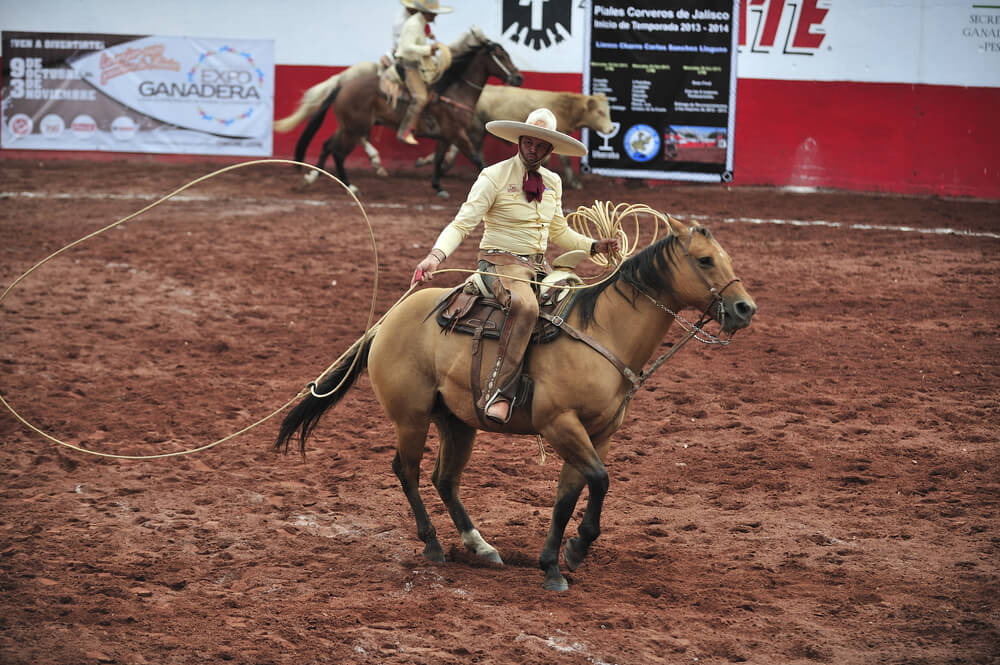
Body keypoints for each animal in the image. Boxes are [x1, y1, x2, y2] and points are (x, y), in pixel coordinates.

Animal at [274, 27, 524, 197]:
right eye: (501, 56)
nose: (518, 77)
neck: (454, 90)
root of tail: (343, 85)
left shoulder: (445, 136)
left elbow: (439, 159)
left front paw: (438, 187)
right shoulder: (457, 133)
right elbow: (477, 159)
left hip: (349, 127)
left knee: (328, 146)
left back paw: (316, 178)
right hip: (354, 129)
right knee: (337, 152)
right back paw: (349, 184)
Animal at [276, 217, 756, 592]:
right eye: (705, 260)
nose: (744, 308)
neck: (603, 331)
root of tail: (388, 321)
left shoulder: (598, 433)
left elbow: (571, 494)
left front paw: (555, 564)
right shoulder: (560, 424)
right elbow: (599, 481)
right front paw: (575, 550)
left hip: (457, 422)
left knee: (444, 478)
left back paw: (480, 545)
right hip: (410, 417)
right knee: (407, 471)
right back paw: (432, 544)